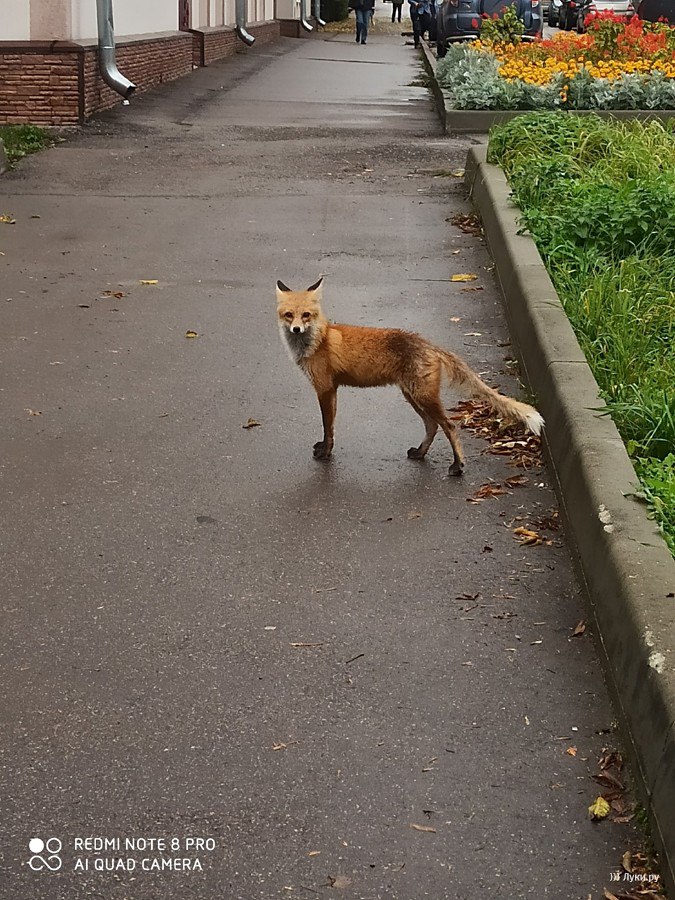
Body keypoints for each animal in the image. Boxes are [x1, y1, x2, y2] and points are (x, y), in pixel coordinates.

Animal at [278, 278, 548, 478]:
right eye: (289, 315)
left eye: (306, 315)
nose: (296, 329)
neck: (318, 341)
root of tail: (430, 345)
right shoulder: (332, 389)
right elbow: (331, 427)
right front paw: (328, 450)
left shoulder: (324, 388)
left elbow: (327, 426)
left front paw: (325, 453)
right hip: (412, 396)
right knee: (432, 426)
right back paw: (420, 453)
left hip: (423, 397)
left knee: (449, 426)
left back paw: (457, 466)